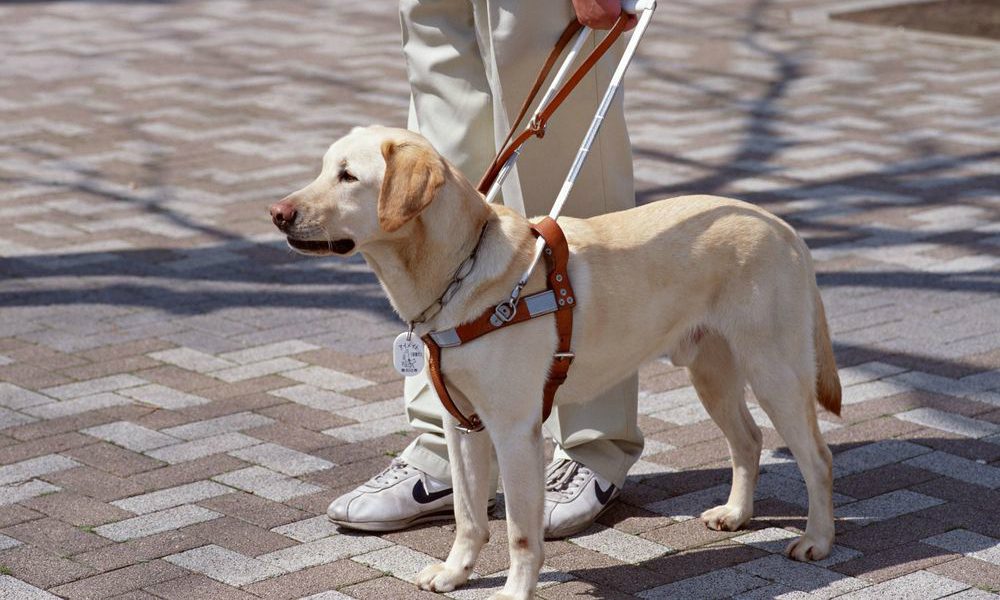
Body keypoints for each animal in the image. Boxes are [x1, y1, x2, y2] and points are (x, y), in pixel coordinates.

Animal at [270, 126, 840, 600]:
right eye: (323, 168)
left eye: (348, 176)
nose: (277, 213)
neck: (458, 274)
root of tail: (784, 226)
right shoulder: (462, 425)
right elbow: (467, 515)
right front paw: (455, 574)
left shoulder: (513, 430)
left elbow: (521, 531)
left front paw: (515, 593)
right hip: (712, 373)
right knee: (749, 440)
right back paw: (738, 514)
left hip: (775, 373)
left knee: (817, 458)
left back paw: (817, 540)